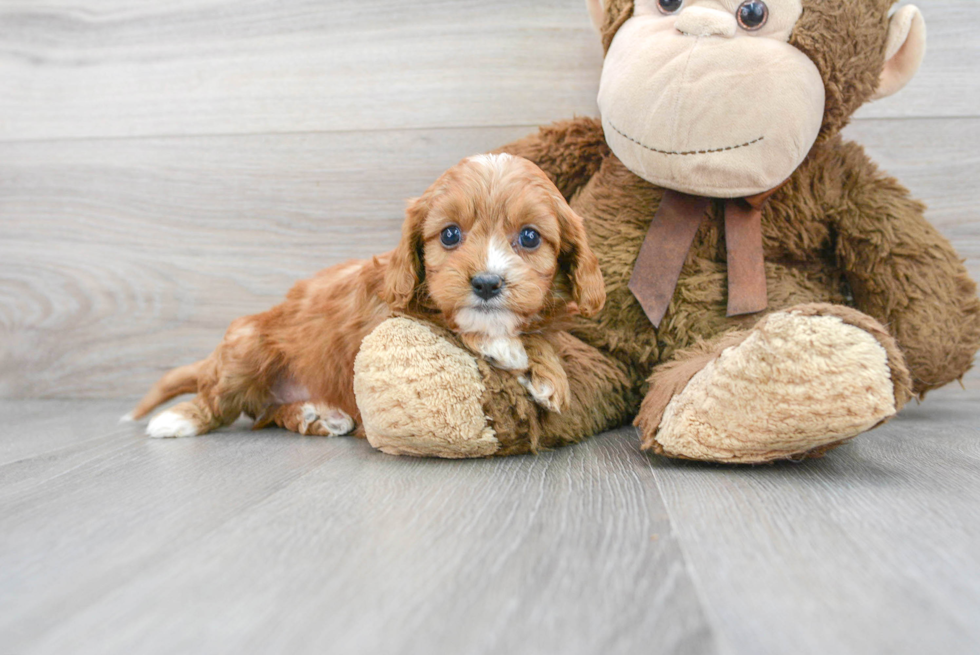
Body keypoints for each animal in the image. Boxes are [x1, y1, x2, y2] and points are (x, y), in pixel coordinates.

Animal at [130, 154, 604, 440]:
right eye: (450, 234)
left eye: (529, 237)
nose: (487, 284)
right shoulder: (388, 314)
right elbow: (448, 319)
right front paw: (504, 346)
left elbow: (539, 335)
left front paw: (550, 375)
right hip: (246, 347)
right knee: (220, 399)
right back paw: (178, 419)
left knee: (263, 412)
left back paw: (314, 414)